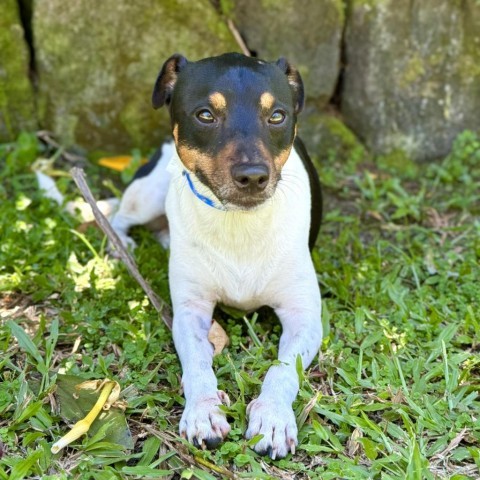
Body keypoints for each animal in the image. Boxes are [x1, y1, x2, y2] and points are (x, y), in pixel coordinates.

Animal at [109, 53, 322, 462]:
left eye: (277, 115)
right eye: (205, 114)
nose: (253, 176)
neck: (238, 225)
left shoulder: (304, 317)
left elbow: (283, 369)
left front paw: (272, 418)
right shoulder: (189, 311)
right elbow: (196, 363)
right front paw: (204, 412)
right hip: (148, 192)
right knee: (118, 216)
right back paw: (120, 244)